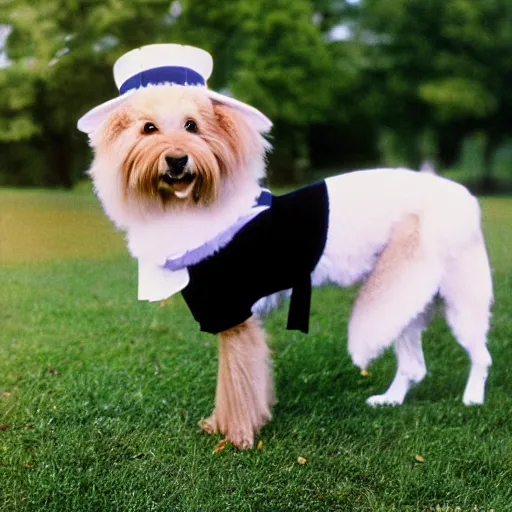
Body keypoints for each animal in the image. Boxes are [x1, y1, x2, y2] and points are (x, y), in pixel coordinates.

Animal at [79, 45, 492, 452]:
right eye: (148, 128)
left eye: (192, 126)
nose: (178, 160)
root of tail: (463, 195)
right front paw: (226, 426)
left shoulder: (234, 316)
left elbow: (236, 383)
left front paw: (238, 436)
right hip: (407, 300)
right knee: (414, 366)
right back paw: (389, 400)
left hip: (459, 299)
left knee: (481, 355)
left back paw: (472, 398)